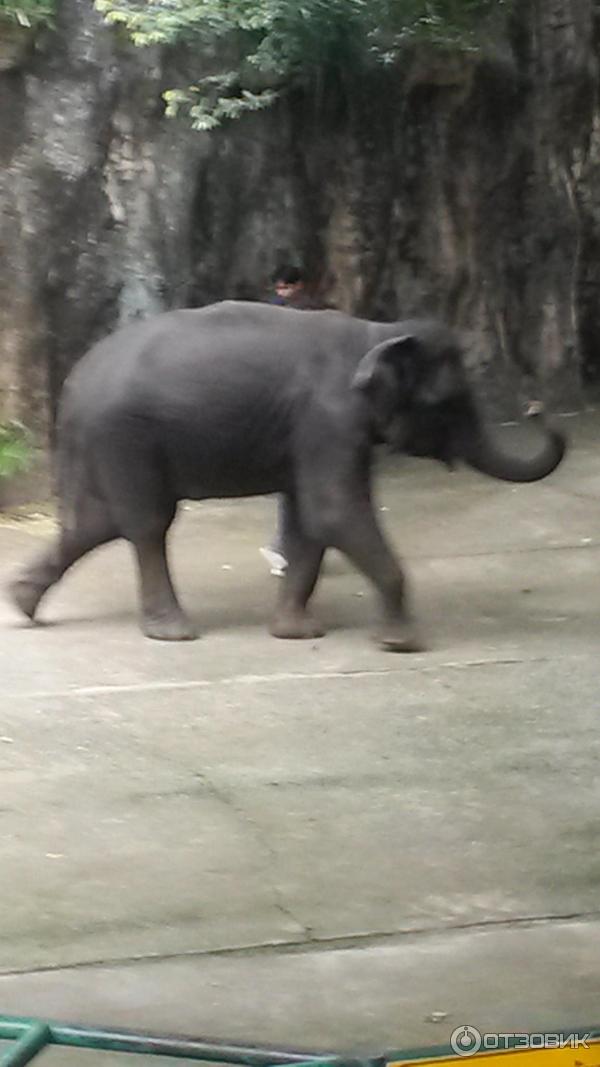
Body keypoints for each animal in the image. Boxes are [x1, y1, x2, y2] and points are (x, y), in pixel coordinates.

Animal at [7, 300, 563, 648]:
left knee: (91, 524)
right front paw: (401, 643)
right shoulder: (331, 419)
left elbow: (309, 522)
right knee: (146, 524)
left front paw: (297, 634)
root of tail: (73, 384)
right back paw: (173, 632)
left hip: (105, 442)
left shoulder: (318, 431)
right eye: (448, 402)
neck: (378, 332)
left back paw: (21, 602)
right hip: (126, 438)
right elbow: (334, 510)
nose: (536, 406)